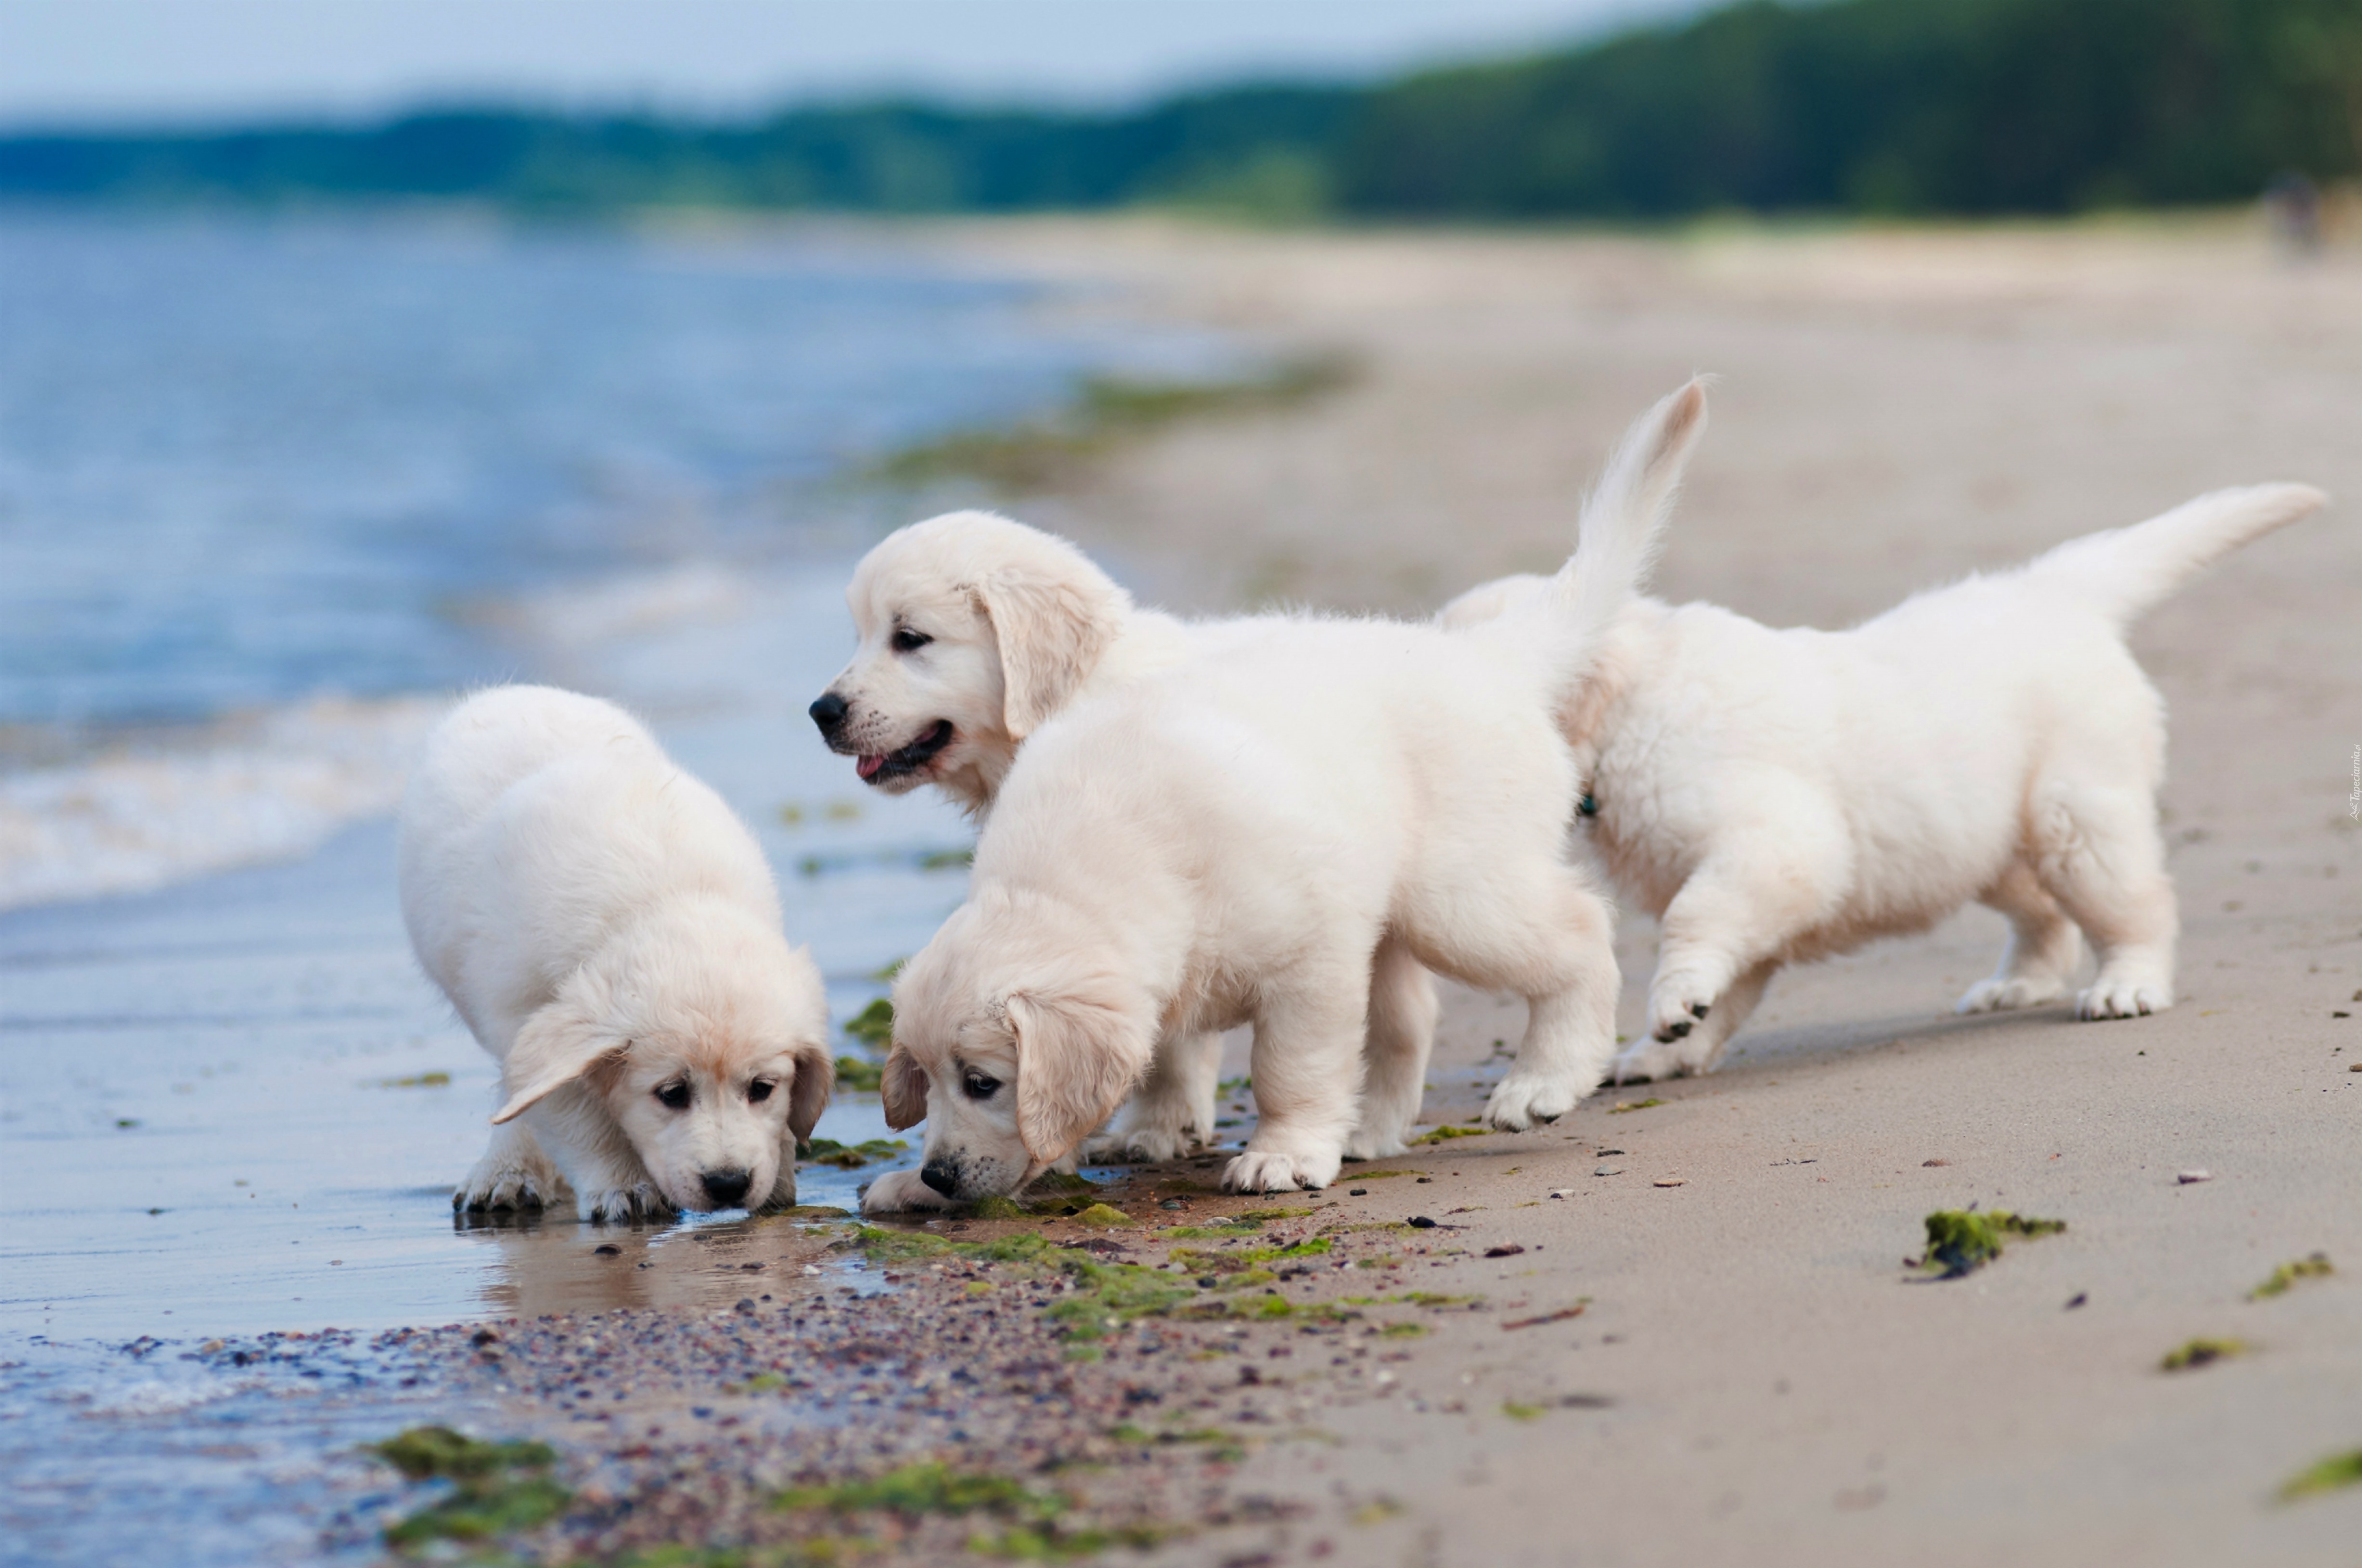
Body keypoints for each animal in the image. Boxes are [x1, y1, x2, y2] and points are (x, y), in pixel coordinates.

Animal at [406, 685, 841, 1228]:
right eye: (671, 1094)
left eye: (763, 1088)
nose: (728, 1183)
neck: (662, 900)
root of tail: (518, 691)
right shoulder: (526, 1015)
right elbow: (573, 1113)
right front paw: (624, 1184)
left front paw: (778, 1173)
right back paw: (507, 1170)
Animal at [860, 382, 1710, 1209]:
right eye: (925, 1078)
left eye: (983, 1082)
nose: (940, 1174)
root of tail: (1485, 655)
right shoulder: (1176, 976)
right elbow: (1166, 1054)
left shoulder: (1311, 961)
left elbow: (1290, 1066)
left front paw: (1286, 1152)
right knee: (1410, 1019)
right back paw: (1370, 1129)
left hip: (1460, 896)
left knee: (1579, 931)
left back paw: (1543, 1079)